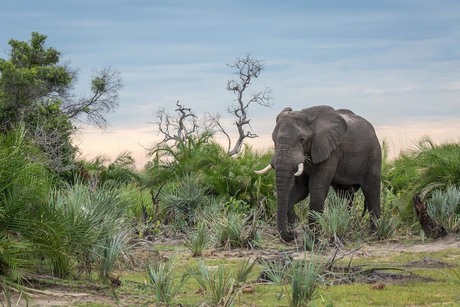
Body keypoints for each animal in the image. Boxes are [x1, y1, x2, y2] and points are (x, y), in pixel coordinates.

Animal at [255, 106, 380, 243]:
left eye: (301, 140)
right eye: (273, 139)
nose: (293, 234)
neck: (307, 115)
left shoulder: (331, 150)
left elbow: (317, 188)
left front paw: (312, 240)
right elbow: (301, 190)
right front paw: (295, 224)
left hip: (374, 153)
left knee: (371, 190)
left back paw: (374, 235)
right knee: (345, 194)